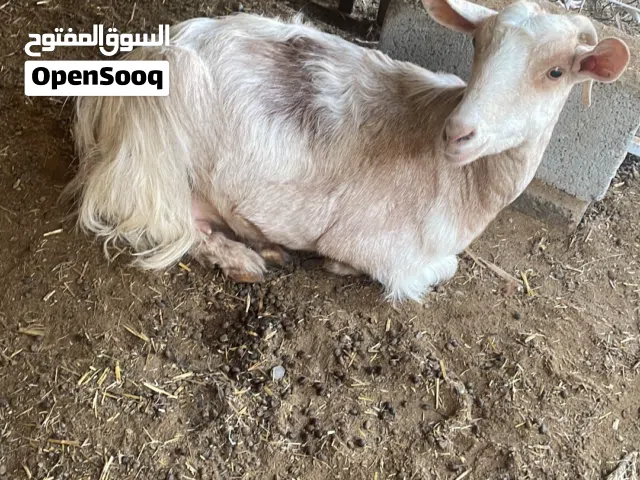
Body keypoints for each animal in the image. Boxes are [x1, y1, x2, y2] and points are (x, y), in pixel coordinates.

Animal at [66, 0, 630, 302]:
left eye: (556, 71)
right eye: (478, 46)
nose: (459, 133)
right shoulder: (387, 249)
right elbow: (440, 270)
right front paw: (338, 267)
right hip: (151, 153)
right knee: (155, 219)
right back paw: (242, 257)